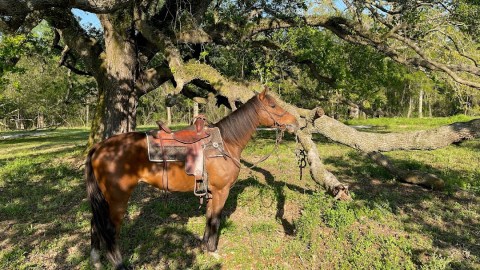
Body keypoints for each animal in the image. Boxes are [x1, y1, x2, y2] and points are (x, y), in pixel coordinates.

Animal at [84, 89, 298, 268]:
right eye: (273, 106)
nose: (295, 122)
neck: (225, 144)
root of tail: (99, 147)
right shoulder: (221, 192)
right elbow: (215, 220)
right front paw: (212, 250)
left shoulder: (211, 192)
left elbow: (209, 217)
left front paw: (204, 247)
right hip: (118, 199)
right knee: (110, 229)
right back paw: (119, 263)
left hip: (104, 199)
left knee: (96, 224)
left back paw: (96, 260)